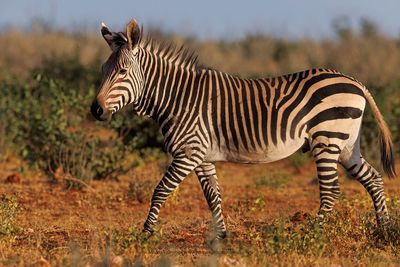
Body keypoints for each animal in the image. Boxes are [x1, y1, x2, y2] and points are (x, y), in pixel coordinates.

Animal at [91, 18, 396, 241]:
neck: (178, 98)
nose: (96, 111)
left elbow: (161, 190)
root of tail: (354, 81)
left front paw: (145, 232)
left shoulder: (188, 152)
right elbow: (213, 196)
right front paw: (221, 236)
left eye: (122, 72)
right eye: (103, 70)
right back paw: (384, 229)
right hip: (346, 144)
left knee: (331, 189)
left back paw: (313, 233)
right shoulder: (202, 156)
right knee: (373, 179)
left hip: (327, 139)